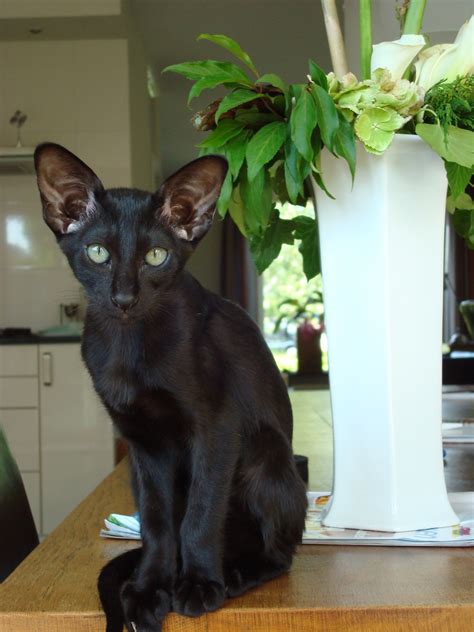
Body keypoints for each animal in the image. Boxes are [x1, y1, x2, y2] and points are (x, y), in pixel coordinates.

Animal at [33, 144, 308, 632]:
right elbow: (159, 523)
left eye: (156, 256)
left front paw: (198, 585)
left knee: (280, 552)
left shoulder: (217, 430)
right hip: (135, 469)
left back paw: (235, 573)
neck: (129, 347)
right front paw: (148, 588)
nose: (124, 298)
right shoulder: (145, 443)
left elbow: (200, 512)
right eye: (98, 252)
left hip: (267, 452)